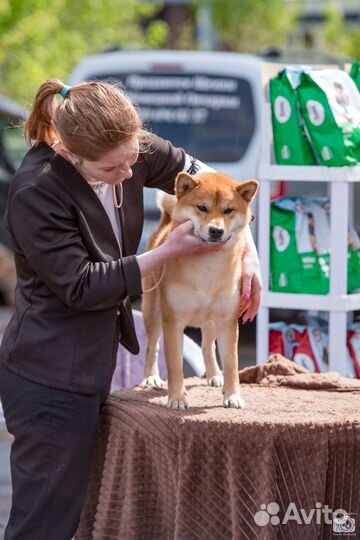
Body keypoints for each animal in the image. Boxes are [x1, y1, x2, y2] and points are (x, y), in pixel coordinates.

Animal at [141, 172, 258, 410]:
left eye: (228, 210)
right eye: (202, 208)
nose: (216, 230)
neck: (208, 267)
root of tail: (164, 225)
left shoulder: (227, 321)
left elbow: (231, 364)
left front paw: (233, 396)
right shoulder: (173, 321)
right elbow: (175, 365)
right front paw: (177, 399)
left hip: (211, 321)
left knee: (207, 347)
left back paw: (214, 376)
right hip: (154, 312)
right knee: (152, 347)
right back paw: (152, 377)